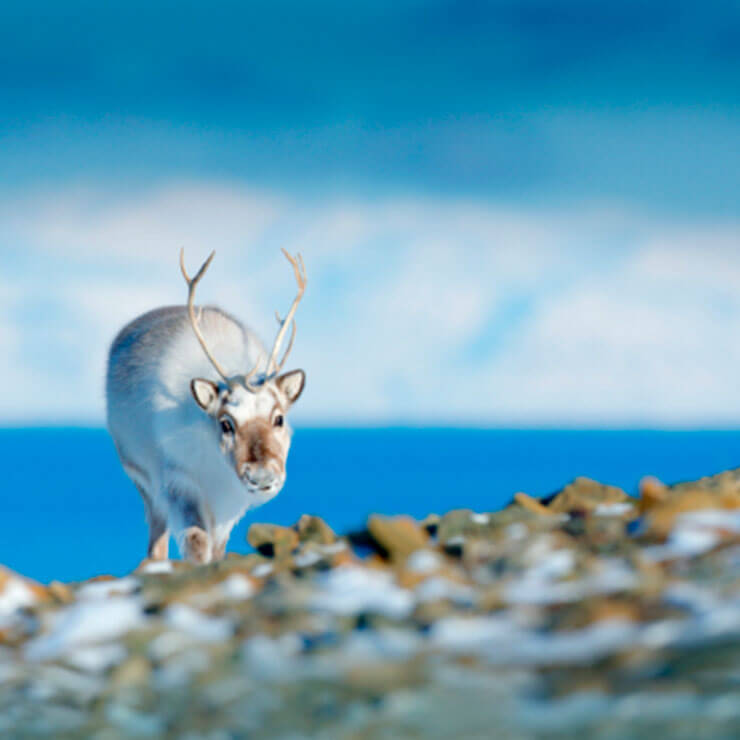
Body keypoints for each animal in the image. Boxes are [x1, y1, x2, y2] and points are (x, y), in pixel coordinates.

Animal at [106, 249, 306, 564]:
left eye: (279, 419)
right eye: (226, 423)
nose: (262, 477)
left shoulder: (232, 503)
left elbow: (218, 548)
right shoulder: (179, 482)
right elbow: (197, 540)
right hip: (144, 481)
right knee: (157, 535)